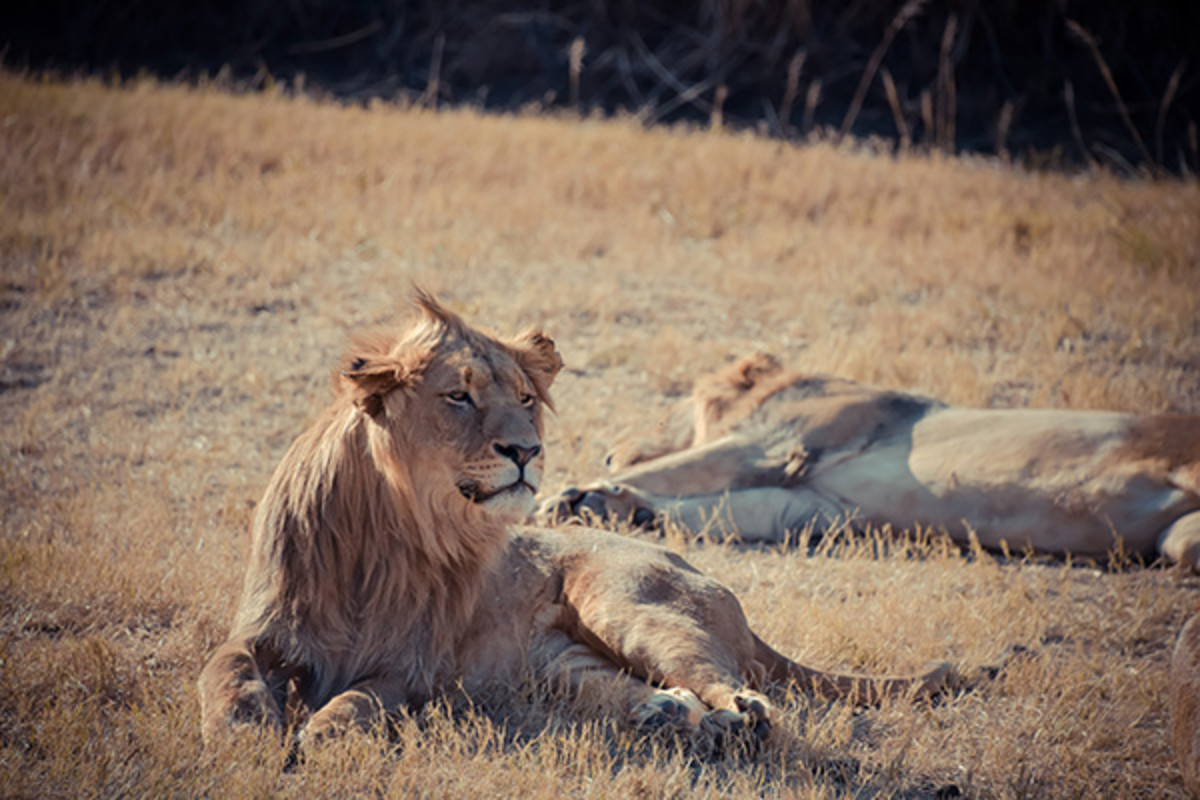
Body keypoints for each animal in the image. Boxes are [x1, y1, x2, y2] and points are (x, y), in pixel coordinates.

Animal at [194, 293, 945, 753]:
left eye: (527, 398)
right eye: (458, 396)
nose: (527, 451)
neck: (385, 531)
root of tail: (710, 578)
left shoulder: (412, 666)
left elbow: (363, 700)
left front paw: (321, 733)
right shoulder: (265, 628)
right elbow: (221, 668)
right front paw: (241, 729)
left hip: (630, 606)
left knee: (738, 691)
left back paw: (733, 720)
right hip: (565, 667)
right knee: (661, 696)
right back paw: (667, 717)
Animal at [540, 352, 1200, 568]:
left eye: (667, 410)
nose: (608, 448)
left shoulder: (777, 444)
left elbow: (672, 470)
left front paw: (565, 497)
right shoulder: (808, 504)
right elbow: (712, 509)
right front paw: (607, 507)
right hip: (1177, 540)